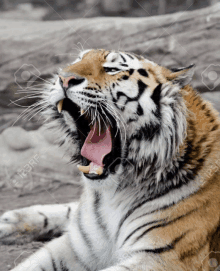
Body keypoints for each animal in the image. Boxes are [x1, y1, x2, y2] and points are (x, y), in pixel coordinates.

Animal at [0, 49, 220, 271]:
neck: (115, 194)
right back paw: (10, 221)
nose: (64, 78)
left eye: (111, 70)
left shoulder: (163, 257)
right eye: (76, 61)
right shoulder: (75, 246)